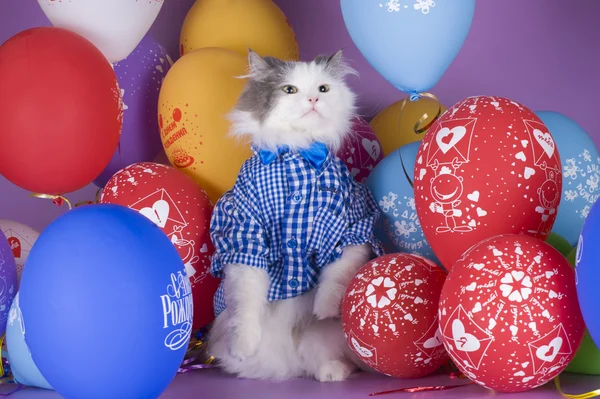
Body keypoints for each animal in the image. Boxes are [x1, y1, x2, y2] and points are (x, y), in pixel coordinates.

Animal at [206, 48, 382, 382]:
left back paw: (333, 371)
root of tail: (285, 366)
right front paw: (243, 345)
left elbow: (336, 276)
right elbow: (247, 302)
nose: (312, 99)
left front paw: (325, 308)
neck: (298, 154)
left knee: (316, 358)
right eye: (289, 90)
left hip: (325, 339)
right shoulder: (245, 233)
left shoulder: (352, 224)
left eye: (323, 89)